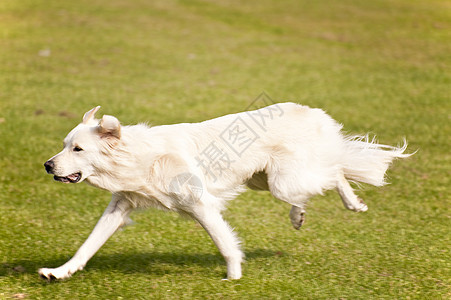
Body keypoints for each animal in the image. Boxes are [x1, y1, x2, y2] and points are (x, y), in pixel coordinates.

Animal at [40, 103, 412, 282]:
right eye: (64, 146)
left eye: (78, 149)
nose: (46, 165)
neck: (140, 157)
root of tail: (312, 112)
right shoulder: (120, 206)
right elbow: (87, 246)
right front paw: (59, 273)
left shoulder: (201, 204)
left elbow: (225, 244)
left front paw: (232, 279)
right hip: (265, 180)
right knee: (321, 180)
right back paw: (300, 216)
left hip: (284, 180)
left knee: (334, 172)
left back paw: (352, 204)